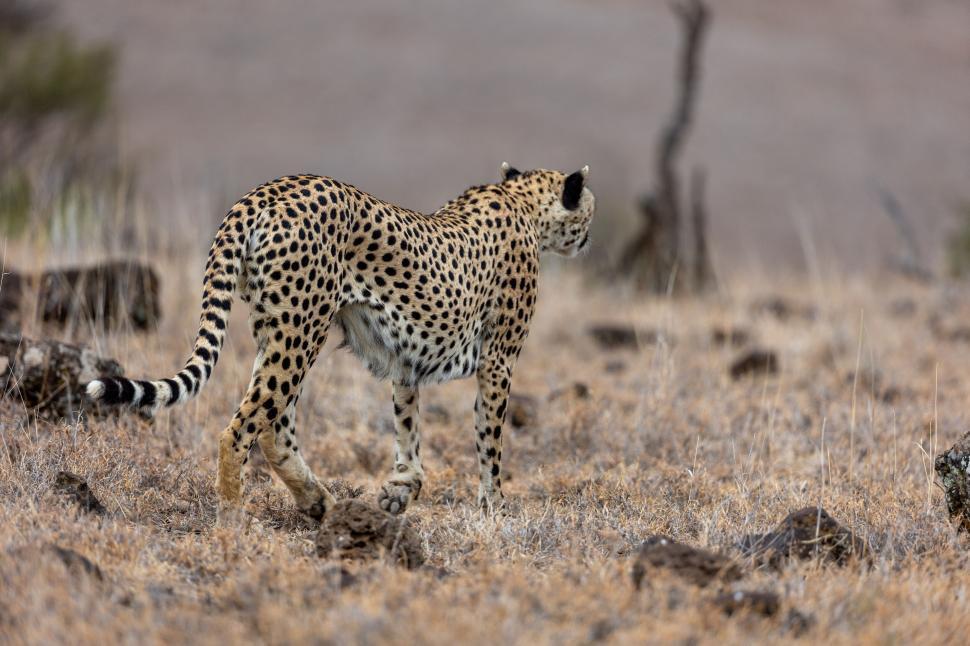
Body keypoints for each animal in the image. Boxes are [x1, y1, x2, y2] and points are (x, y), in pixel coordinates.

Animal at [85, 162, 595, 520]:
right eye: (589, 211)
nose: (588, 239)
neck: (520, 201)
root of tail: (267, 190)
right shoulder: (498, 361)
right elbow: (490, 440)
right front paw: (493, 509)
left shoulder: (405, 363)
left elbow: (408, 429)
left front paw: (400, 491)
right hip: (300, 329)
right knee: (242, 428)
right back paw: (232, 519)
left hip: (276, 327)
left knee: (274, 427)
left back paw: (319, 503)